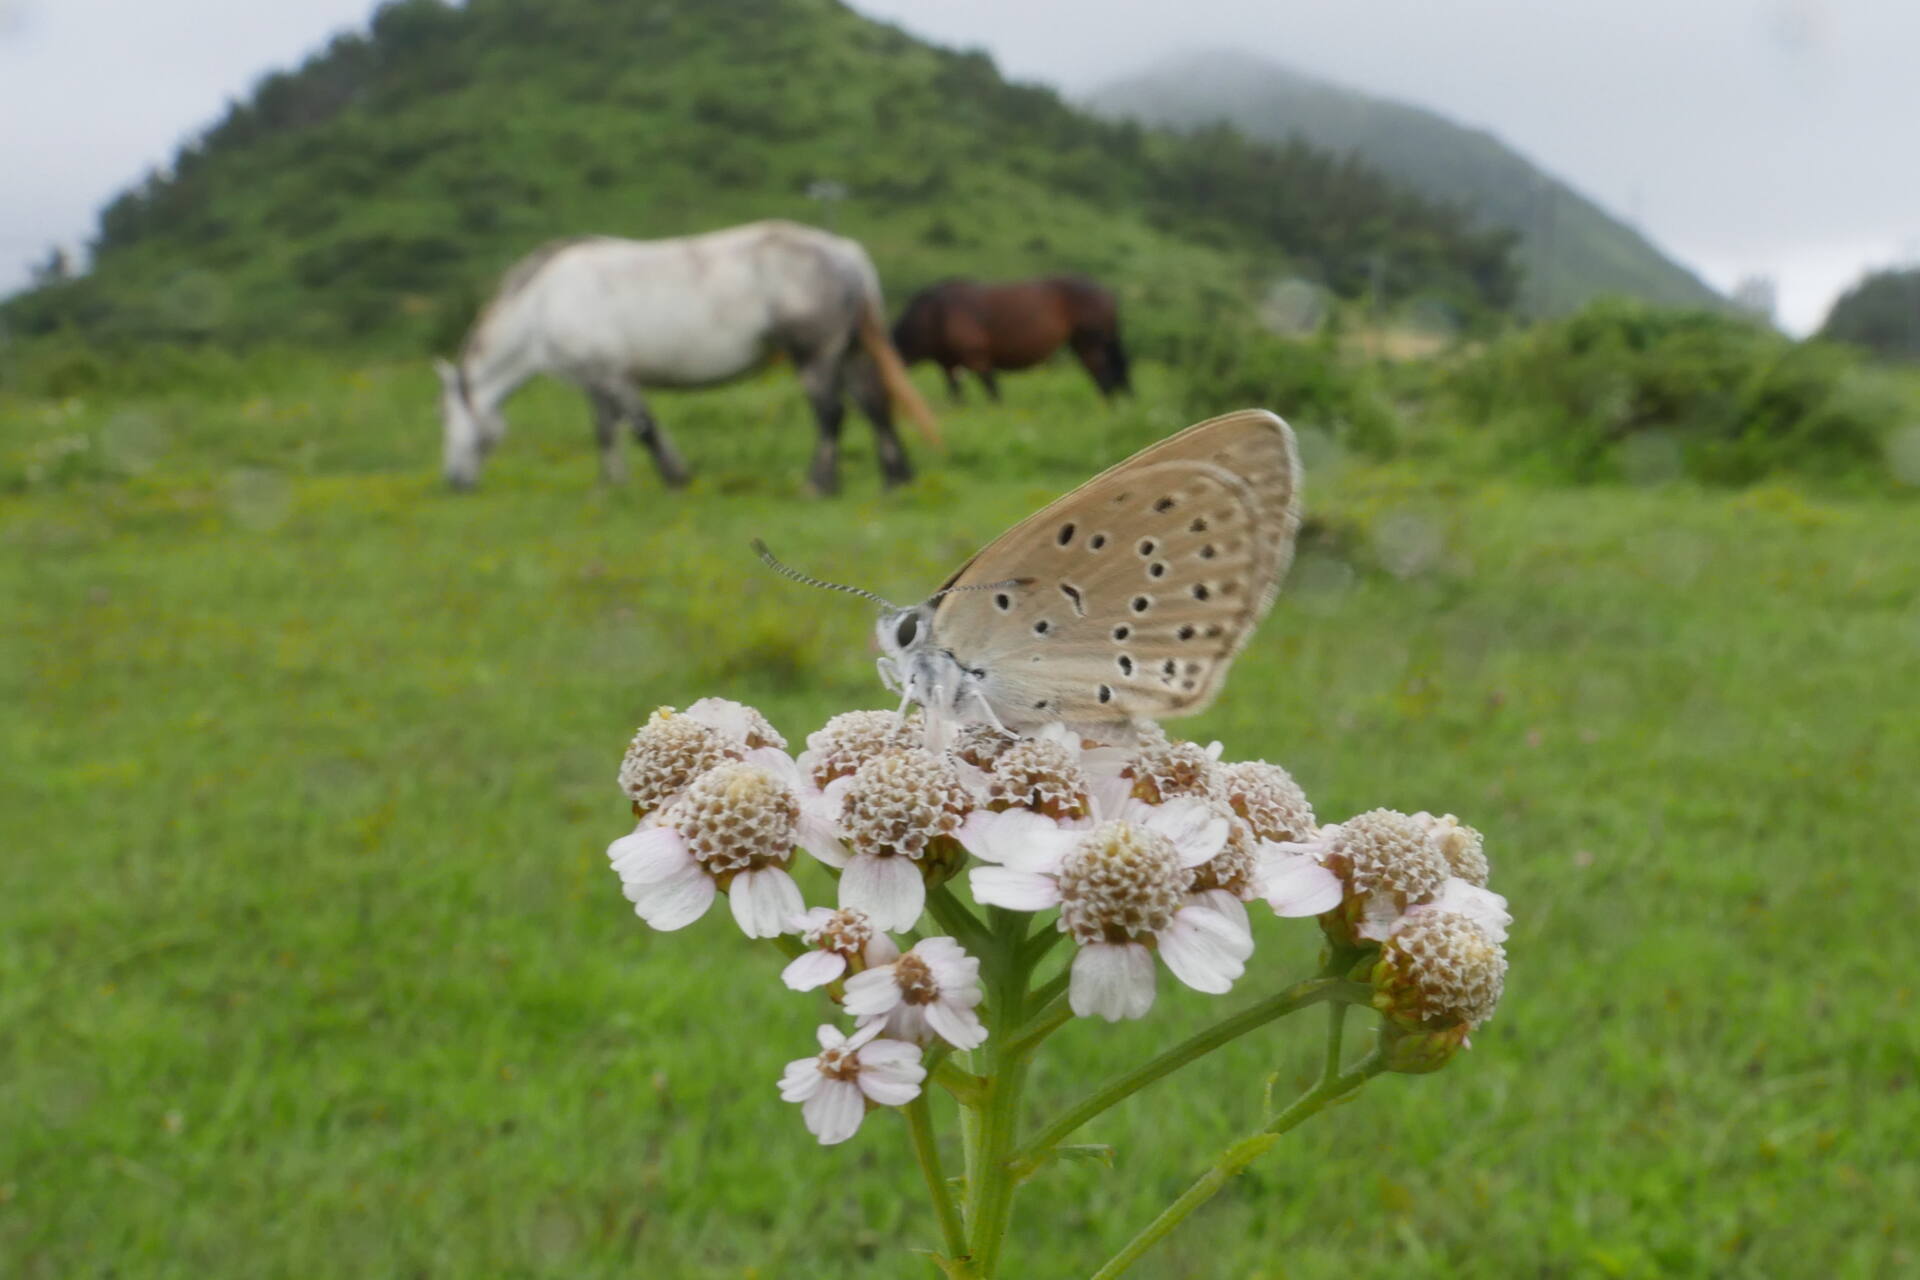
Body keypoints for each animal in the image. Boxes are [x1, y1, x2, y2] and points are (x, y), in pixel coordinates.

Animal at [437, 222, 944, 495]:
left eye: (447, 419)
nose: (453, 481)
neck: (542, 304)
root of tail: (845, 252)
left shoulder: (613, 378)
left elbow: (642, 428)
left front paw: (675, 478)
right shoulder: (595, 382)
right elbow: (606, 433)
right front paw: (610, 487)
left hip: (815, 357)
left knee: (832, 415)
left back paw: (818, 486)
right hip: (849, 353)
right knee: (875, 408)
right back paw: (897, 481)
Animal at [890, 276, 1128, 401]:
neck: (936, 314)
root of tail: (1107, 293)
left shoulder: (977, 357)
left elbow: (992, 390)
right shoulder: (949, 365)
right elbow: (956, 395)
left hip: (1091, 343)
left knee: (1103, 376)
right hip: (1081, 344)